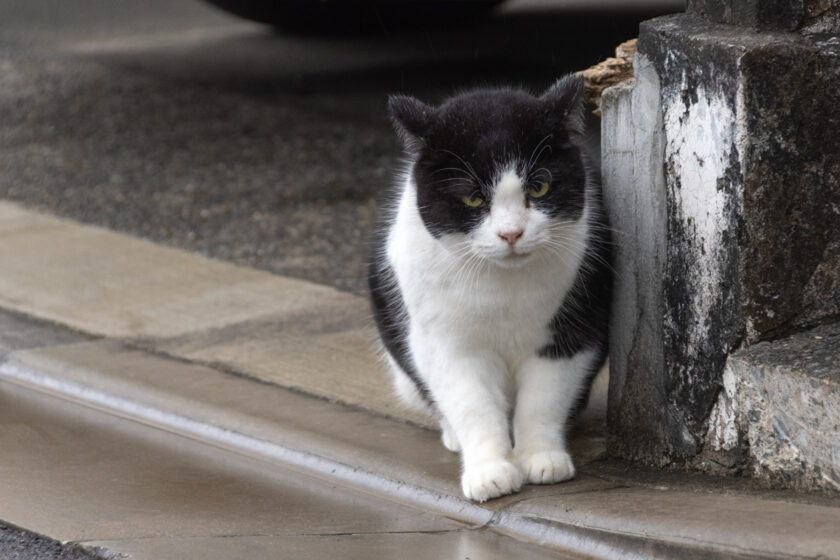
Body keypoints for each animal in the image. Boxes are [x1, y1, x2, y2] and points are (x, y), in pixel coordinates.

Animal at [368, 75, 612, 504]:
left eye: (540, 187)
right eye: (473, 197)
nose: (511, 233)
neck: (503, 289)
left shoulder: (569, 334)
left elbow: (543, 399)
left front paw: (541, 459)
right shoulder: (445, 345)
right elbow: (473, 404)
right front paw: (490, 471)